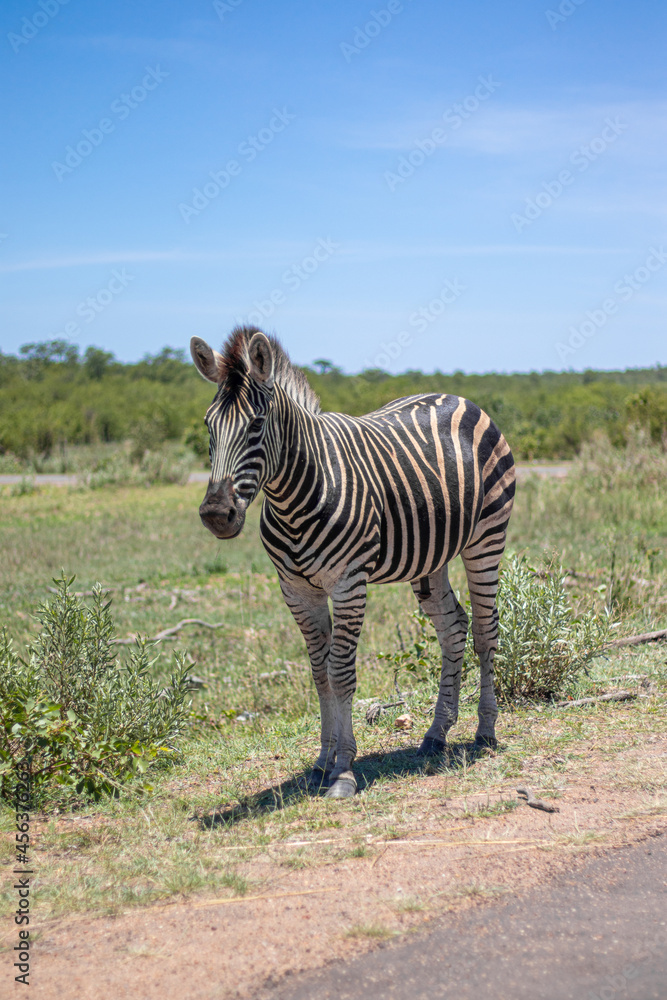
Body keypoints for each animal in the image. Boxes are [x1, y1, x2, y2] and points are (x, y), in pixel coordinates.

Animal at [191, 326, 515, 799]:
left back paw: (485, 731)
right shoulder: (296, 590)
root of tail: (456, 396)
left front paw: (343, 770)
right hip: (430, 557)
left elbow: (341, 671)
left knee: (485, 629)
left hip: (486, 537)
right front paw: (321, 763)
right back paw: (437, 733)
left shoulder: (348, 582)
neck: (294, 495)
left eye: (256, 424)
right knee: (453, 629)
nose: (217, 514)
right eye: (208, 425)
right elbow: (319, 673)